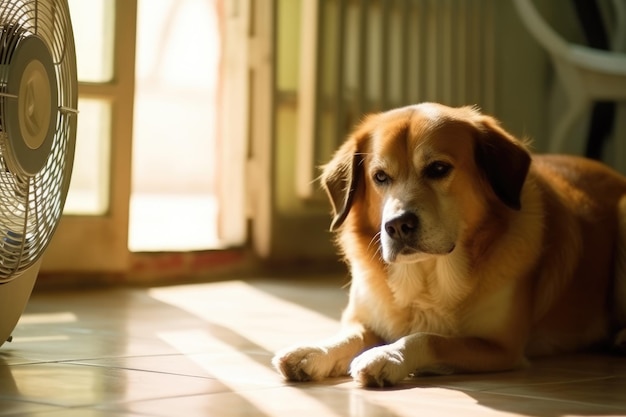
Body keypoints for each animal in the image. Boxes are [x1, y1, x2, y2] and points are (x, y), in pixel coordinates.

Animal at [272, 101, 624, 386]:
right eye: (380, 177)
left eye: (438, 169)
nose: (397, 225)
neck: (427, 279)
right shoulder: (364, 319)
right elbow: (349, 335)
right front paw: (313, 351)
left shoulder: (500, 347)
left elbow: (429, 338)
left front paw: (387, 356)